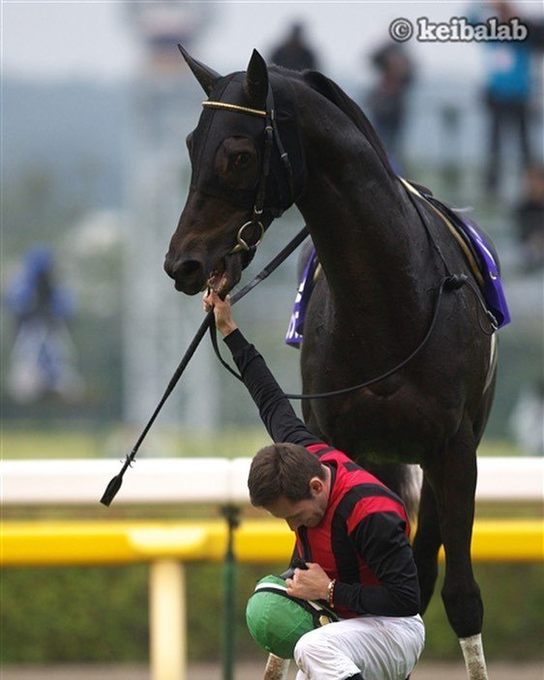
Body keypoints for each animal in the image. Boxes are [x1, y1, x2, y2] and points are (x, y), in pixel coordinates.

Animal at [164, 47, 505, 680]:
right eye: (192, 144)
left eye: (239, 154)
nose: (183, 264)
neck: (389, 305)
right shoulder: (334, 438)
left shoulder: (453, 450)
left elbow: (459, 598)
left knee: (425, 574)